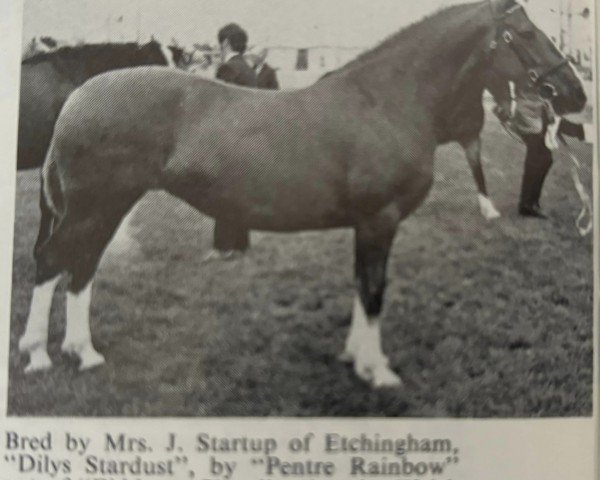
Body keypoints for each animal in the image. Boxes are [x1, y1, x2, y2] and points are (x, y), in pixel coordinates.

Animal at [19, 0, 584, 388]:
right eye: (525, 33)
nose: (575, 93)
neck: (384, 101)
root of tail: (78, 97)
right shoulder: (379, 219)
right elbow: (373, 291)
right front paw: (377, 371)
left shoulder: (367, 224)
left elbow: (360, 286)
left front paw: (354, 358)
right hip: (95, 206)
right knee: (53, 262)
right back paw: (44, 354)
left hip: (103, 206)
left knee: (79, 266)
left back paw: (77, 351)